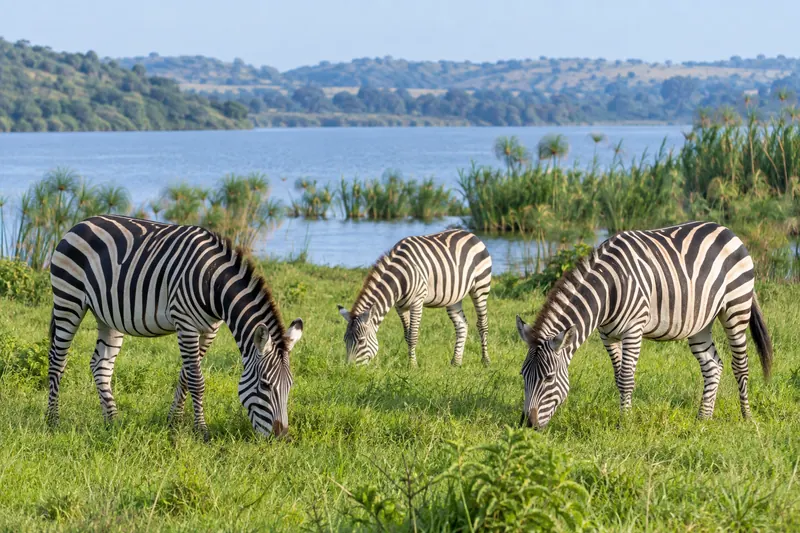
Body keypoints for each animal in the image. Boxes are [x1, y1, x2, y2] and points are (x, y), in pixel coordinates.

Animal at [46, 215, 303, 439]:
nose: (282, 437)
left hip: (107, 315)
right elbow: (197, 380)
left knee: (100, 365)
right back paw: (52, 420)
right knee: (58, 360)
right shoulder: (185, 323)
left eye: (290, 386)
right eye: (265, 385)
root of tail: (81, 223)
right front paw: (202, 431)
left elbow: (186, 375)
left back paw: (112, 420)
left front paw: (174, 421)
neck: (214, 283)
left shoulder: (210, 329)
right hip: (69, 299)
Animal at [337, 229, 492, 367]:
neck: (399, 276)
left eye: (361, 341)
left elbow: (412, 336)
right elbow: (407, 335)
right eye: (344, 340)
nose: (350, 369)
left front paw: (412, 366)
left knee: (482, 324)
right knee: (462, 325)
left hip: (480, 287)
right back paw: (456, 362)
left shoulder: (417, 301)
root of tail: (470, 234)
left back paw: (485, 361)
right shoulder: (400, 306)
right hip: (454, 297)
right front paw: (411, 362)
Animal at [515, 221, 773, 429]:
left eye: (549, 378)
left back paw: (747, 417)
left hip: (736, 307)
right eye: (522, 375)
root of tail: (727, 231)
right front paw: (625, 416)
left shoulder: (633, 329)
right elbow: (618, 378)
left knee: (740, 366)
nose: (528, 424)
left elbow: (626, 379)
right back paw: (703, 418)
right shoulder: (607, 335)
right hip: (700, 322)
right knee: (713, 365)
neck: (608, 289)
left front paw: (625, 423)